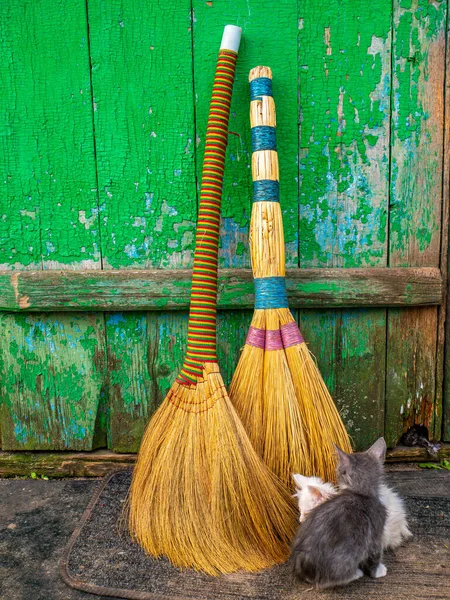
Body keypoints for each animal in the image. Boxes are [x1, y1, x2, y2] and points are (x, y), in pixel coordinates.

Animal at [290, 438, 388, 588]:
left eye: (306, 513)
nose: (300, 520)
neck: (361, 494)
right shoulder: (376, 533)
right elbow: (375, 554)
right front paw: (377, 571)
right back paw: (356, 573)